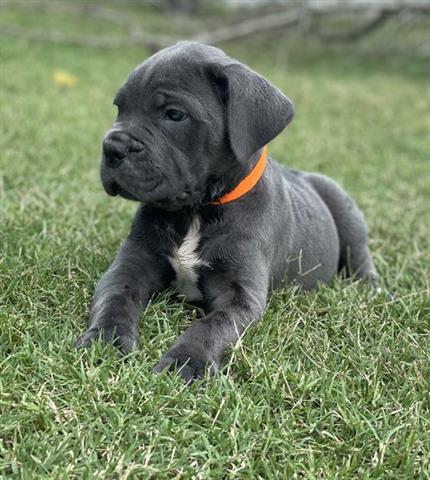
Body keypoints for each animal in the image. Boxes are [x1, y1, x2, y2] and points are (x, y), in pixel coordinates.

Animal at [75, 43, 378, 384]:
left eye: (174, 115)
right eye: (120, 108)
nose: (112, 146)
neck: (196, 212)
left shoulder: (239, 296)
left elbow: (210, 326)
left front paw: (185, 361)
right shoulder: (130, 266)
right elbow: (115, 299)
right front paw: (105, 340)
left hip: (345, 210)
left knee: (361, 257)